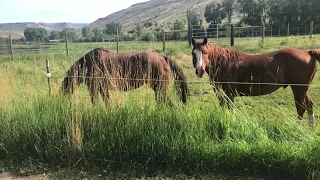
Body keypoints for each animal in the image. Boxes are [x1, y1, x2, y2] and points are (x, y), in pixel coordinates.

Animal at [60, 47, 189, 106]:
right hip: (158, 90)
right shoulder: (103, 89)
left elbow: (95, 102)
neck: (88, 63)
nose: (64, 102)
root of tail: (162, 57)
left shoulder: (94, 88)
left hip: (160, 89)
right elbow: (107, 102)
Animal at [191, 37, 320, 125]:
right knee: (309, 105)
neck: (225, 63)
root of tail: (308, 52)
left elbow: (230, 109)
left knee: (301, 108)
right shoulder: (221, 94)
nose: (199, 70)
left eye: (205, 53)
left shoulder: (229, 94)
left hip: (298, 89)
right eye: (193, 53)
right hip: (302, 89)